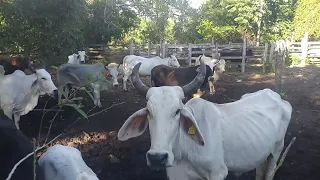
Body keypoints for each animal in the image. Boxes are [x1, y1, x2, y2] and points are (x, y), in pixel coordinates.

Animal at [117, 62, 292, 180]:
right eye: (149, 112)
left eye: (177, 111)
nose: (157, 158)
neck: (185, 150)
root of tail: (274, 95)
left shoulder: (217, 173)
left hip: (276, 150)